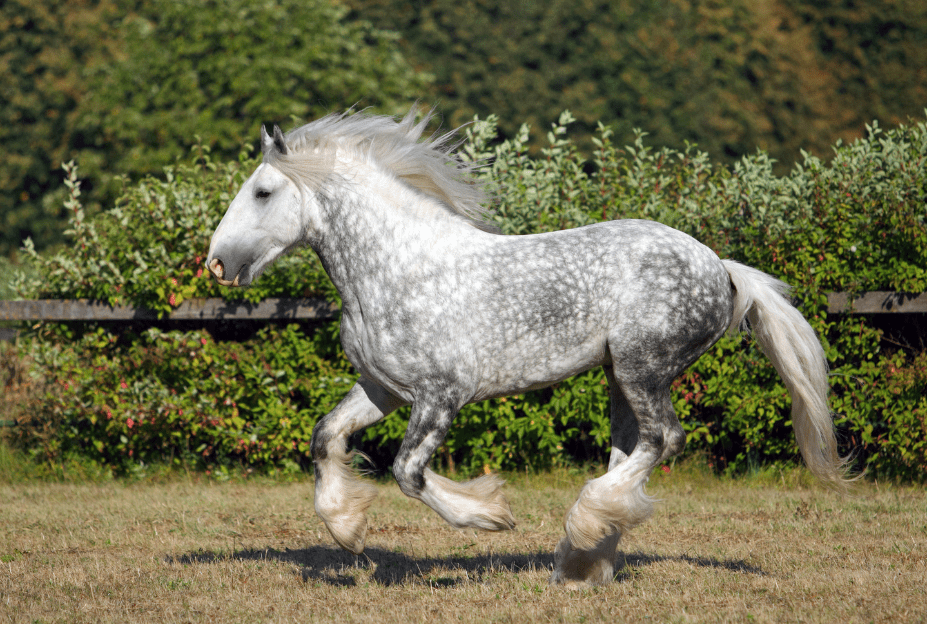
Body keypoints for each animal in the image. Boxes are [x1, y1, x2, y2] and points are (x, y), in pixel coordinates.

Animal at [208, 108, 848, 584]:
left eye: (262, 192)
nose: (216, 264)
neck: (399, 269)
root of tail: (722, 269)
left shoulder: (441, 395)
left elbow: (408, 471)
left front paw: (489, 516)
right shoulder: (383, 389)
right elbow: (325, 437)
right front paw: (348, 532)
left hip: (644, 367)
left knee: (663, 440)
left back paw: (582, 532)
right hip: (618, 375)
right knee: (630, 453)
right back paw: (583, 559)